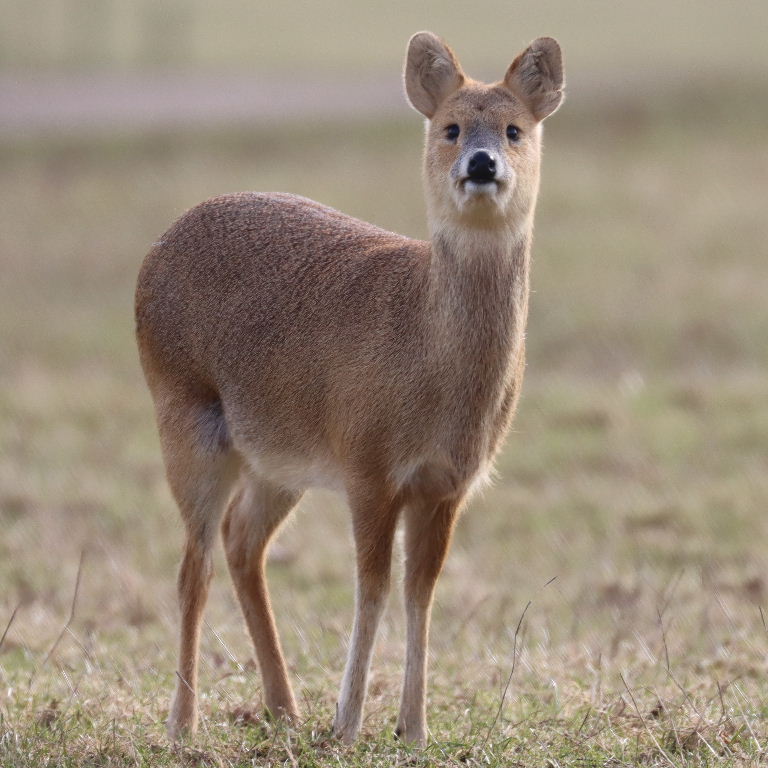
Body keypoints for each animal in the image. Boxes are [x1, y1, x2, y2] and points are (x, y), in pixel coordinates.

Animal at [135, 31, 564, 746]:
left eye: (515, 129)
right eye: (450, 127)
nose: (481, 163)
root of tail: (155, 249)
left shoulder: (447, 483)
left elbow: (421, 591)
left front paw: (413, 728)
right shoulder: (368, 464)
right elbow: (372, 588)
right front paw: (348, 724)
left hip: (278, 460)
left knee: (241, 543)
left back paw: (283, 708)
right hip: (186, 419)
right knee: (194, 565)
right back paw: (184, 724)